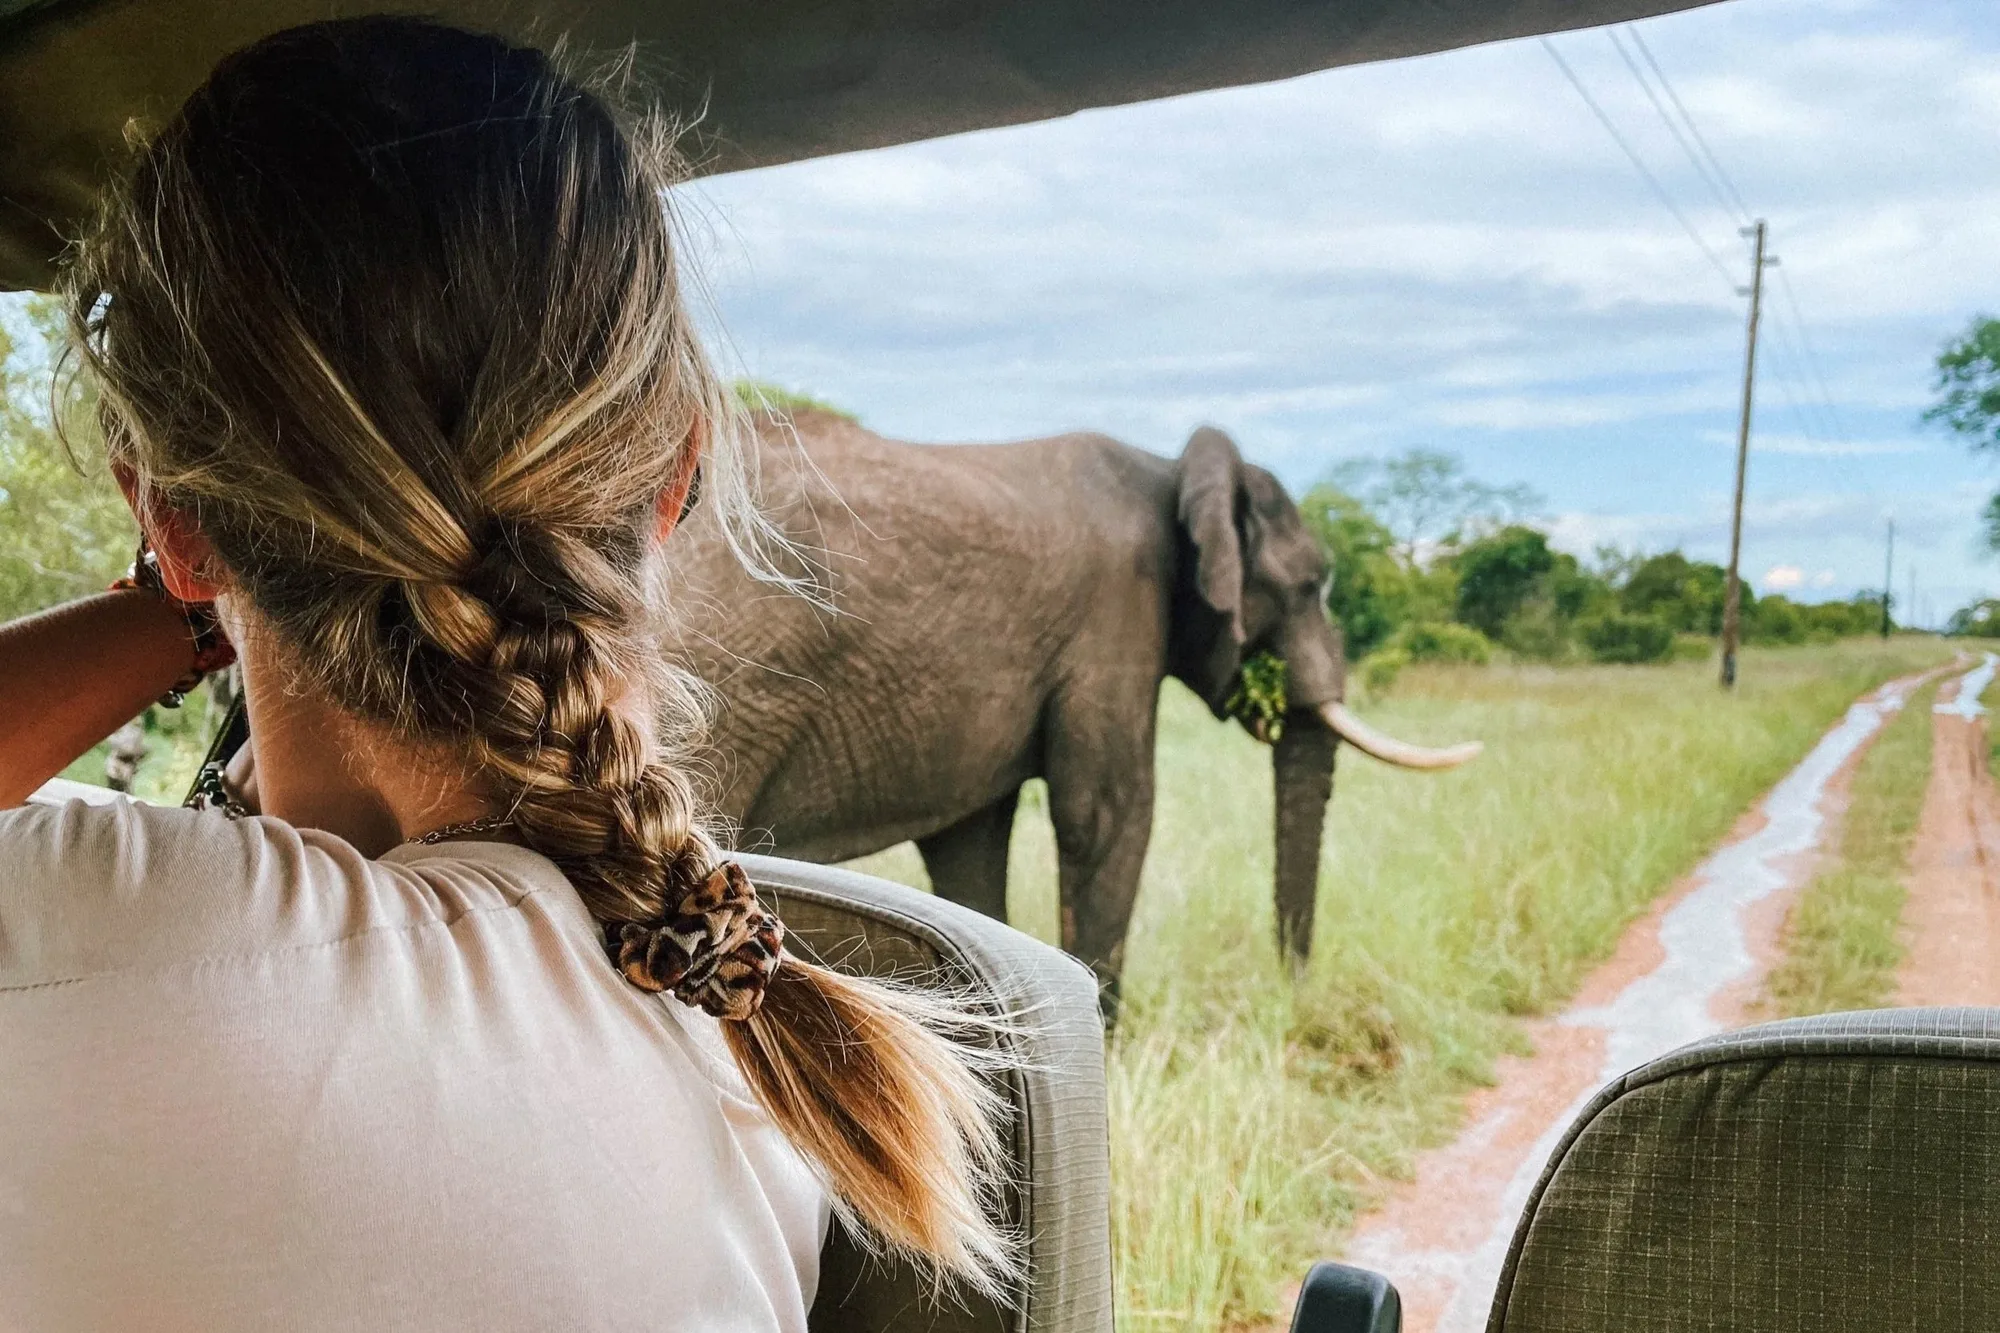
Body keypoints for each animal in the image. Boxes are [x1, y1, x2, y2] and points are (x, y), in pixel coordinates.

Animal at [662, 411, 1479, 1008]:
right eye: (1310, 586)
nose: (1295, 993)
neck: (1172, 470)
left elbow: (972, 842)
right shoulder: (1116, 617)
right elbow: (1108, 814)